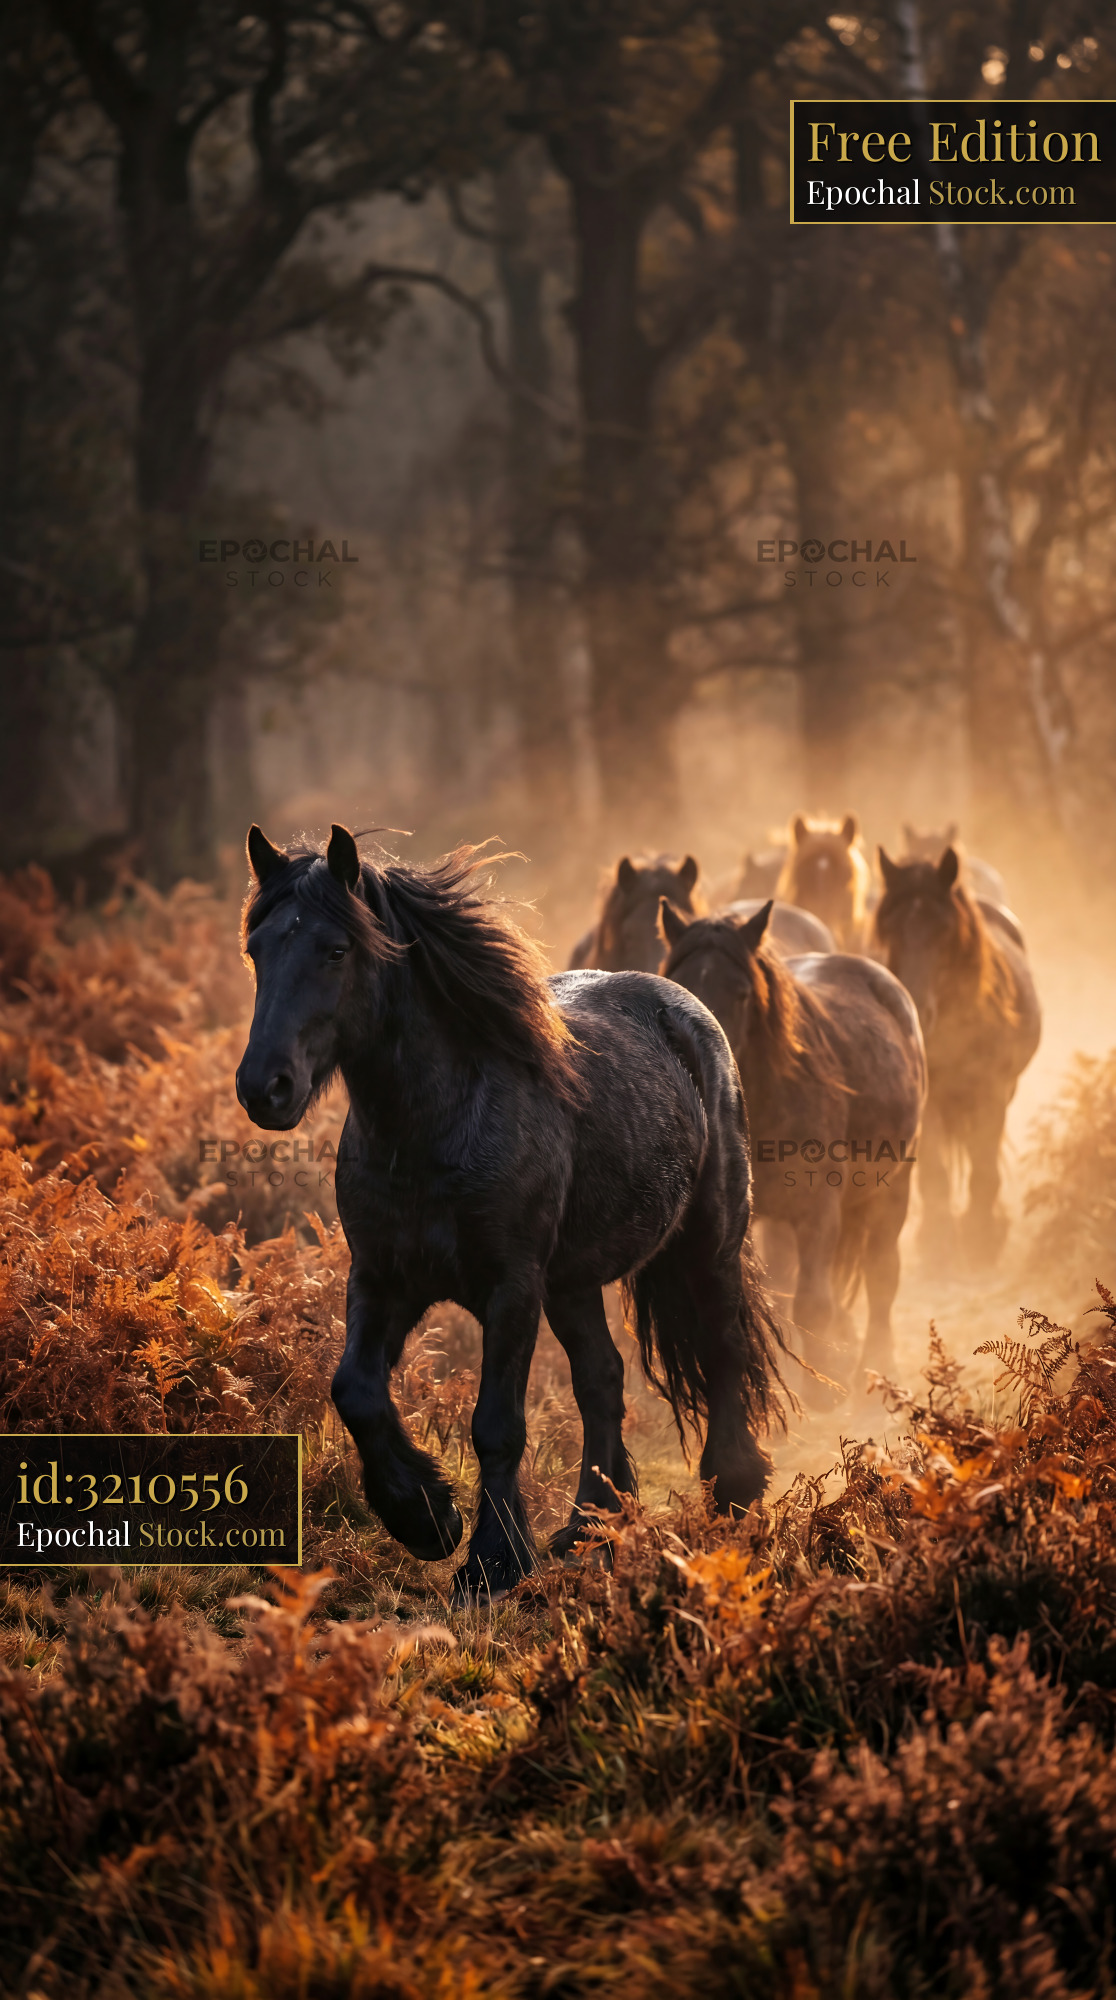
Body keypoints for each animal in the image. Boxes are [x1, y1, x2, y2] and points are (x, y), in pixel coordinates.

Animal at [659, 898, 926, 1401]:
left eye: (742, 992)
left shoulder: (819, 1210)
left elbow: (813, 1301)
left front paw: (824, 1387)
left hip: (892, 1190)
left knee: (882, 1275)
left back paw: (875, 1363)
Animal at [875, 847, 1041, 1267]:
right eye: (890, 930)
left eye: (943, 930)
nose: (917, 1009)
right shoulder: (929, 1100)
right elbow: (935, 1173)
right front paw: (939, 1244)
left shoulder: (992, 1092)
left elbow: (984, 1167)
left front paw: (982, 1239)